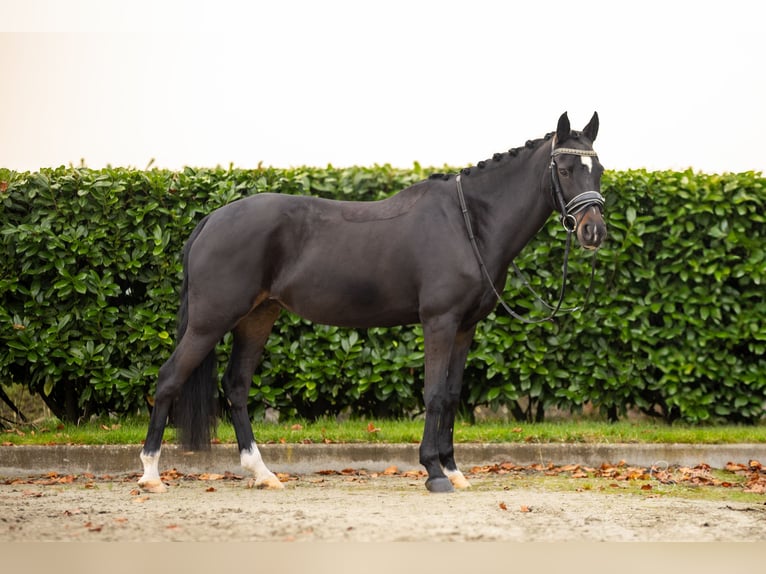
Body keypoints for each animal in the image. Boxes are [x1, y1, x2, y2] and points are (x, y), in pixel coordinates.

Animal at [136, 111, 608, 496]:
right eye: (564, 168)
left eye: (599, 169)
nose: (593, 231)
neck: (469, 222)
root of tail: (212, 219)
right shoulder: (439, 322)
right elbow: (434, 393)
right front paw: (433, 473)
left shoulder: (464, 326)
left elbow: (453, 394)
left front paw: (454, 471)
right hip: (209, 321)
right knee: (169, 378)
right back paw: (151, 475)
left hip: (257, 318)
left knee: (235, 386)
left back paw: (262, 473)